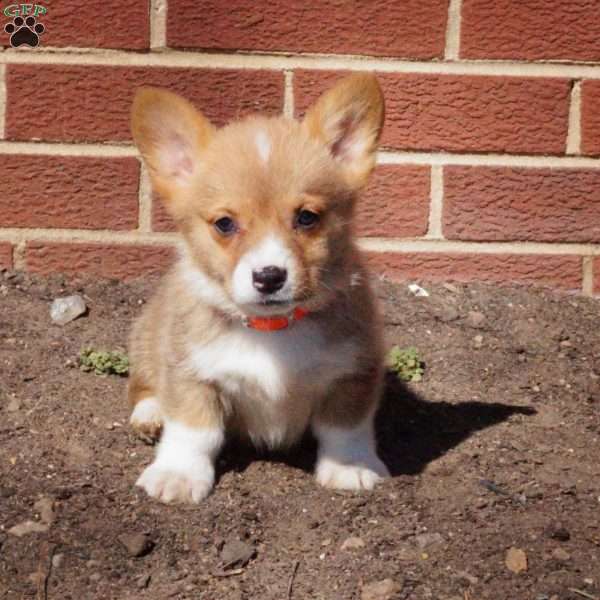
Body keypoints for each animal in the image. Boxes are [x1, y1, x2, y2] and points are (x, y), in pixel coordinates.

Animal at [127, 75, 390, 506]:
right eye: (224, 224)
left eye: (307, 217)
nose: (269, 276)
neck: (273, 329)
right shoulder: (190, 373)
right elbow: (194, 430)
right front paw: (178, 475)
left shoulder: (354, 372)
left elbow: (345, 428)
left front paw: (349, 468)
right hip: (147, 337)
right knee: (143, 384)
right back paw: (150, 412)